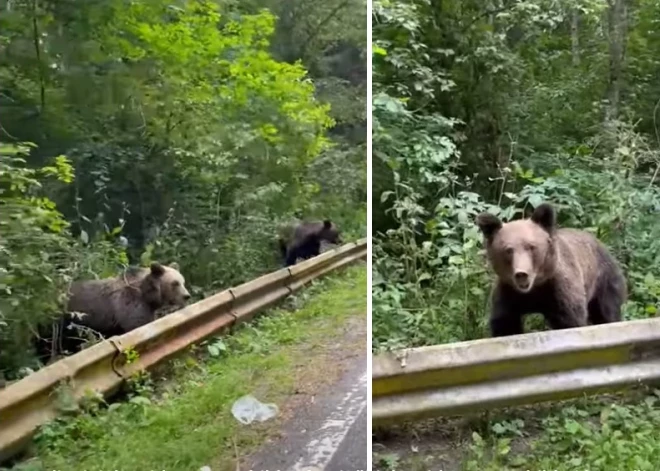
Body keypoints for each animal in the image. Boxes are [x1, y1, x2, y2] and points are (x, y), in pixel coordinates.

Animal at [35, 262, 189, 362]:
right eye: (175, 283)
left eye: (183, 281)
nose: (186, 296)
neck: (148, 296)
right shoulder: (130, 308)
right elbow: (136, 326)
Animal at [476, 205, 628, 338]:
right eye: (508, 250)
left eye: (531, 246)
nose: (521, 274)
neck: (534, 289)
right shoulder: (507, 293)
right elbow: (505, 325)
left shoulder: (559, 290)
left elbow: (570, 320)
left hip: (604, 279)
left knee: (606, 312)